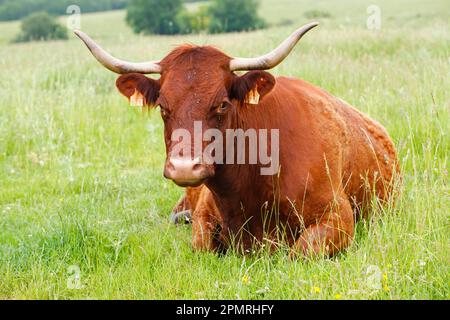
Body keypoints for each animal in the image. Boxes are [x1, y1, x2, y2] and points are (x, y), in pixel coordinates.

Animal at [76, 23, 400, 258]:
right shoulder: (205, 216)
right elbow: (202, 246)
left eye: (222, 104)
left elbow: (300, 253)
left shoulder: (338, 217)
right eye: (163, 107)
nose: (184, 167)